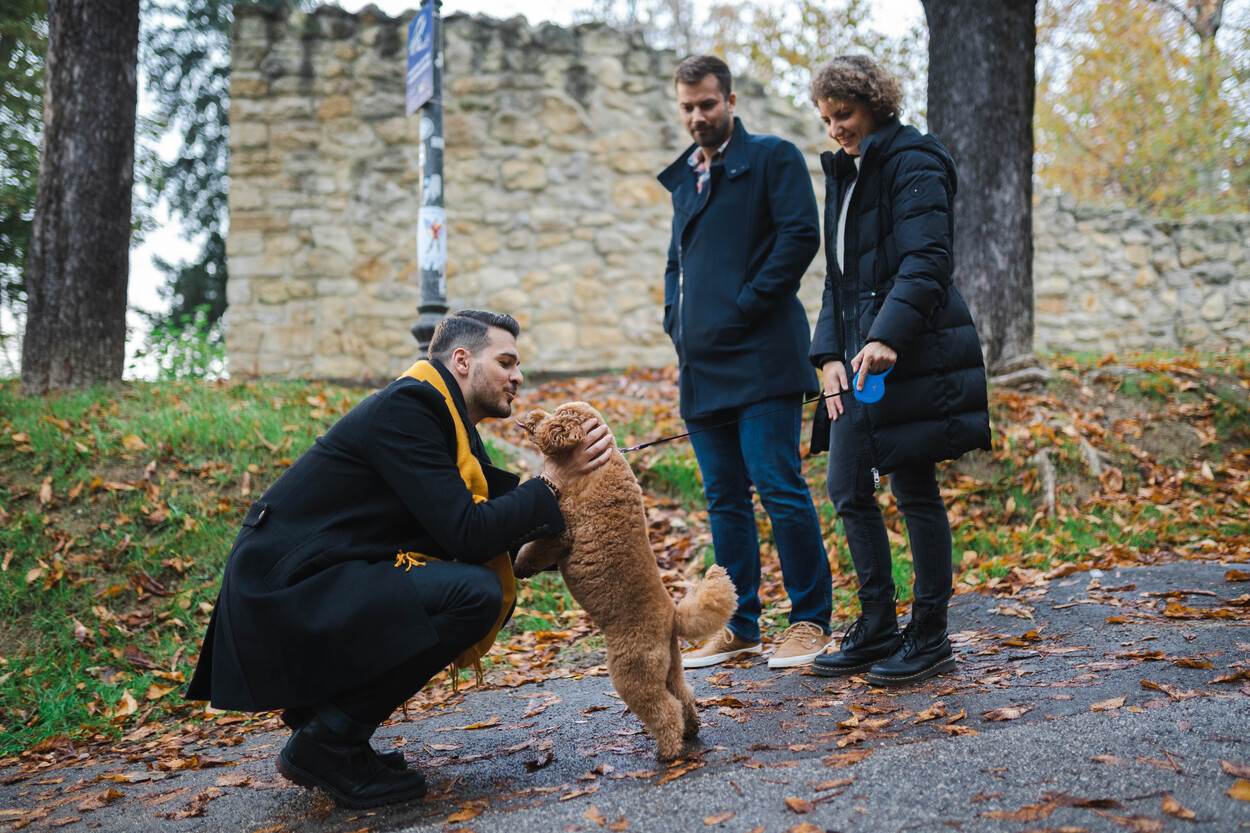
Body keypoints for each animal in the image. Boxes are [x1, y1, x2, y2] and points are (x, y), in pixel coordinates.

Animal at [515, 400, 735, 760]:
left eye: (555, 416)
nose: (529, 417)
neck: (600, 464)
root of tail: (672, 617)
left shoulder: (561, 530)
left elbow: (533, 549)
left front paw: (520, 565)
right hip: (670, 667)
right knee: (683, 697)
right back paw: (690, 731)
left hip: (632, 672)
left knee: (664, 709)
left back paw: (668, 751)